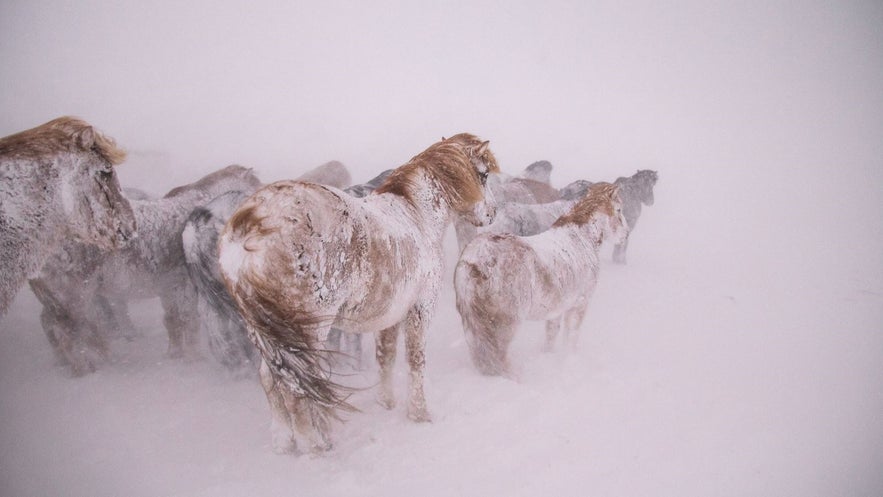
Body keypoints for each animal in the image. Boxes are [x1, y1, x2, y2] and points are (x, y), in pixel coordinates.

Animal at [28, 165, 262, 374]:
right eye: (257, 186)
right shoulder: (184, 288)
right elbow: (188, 322)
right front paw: (193, 357)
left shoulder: (169, 289)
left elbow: (172, 322)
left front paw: (175, 354)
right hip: (74, 299)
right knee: (70, 333)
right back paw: (86, 368)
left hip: (58, 300)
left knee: (50, 324)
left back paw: (66, 362)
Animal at [218, 133, 500, 454]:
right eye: (484, 175)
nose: (492, 213)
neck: (417, 216)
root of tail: (250, 222)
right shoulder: (420, 310)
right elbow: (415, 361)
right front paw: (420, 414)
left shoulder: (389, 316)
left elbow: (385, 357)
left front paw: (386, 403)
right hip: (307, 332)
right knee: (294, 388)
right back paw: (316, 447)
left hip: (262, 332)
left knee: (271, 380)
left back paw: (284, 443)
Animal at [456, 182, 628, 376]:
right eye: (619, 210)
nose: (626, 234)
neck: (584, 236)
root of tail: (476, 261)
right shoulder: (579, 305)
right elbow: (571, 336)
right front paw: (570, 358)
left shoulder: (557, 308)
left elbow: (551, 334)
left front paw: (549, 355)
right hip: (504, 325)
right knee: (497, 358)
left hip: (473, 325)